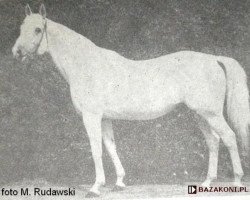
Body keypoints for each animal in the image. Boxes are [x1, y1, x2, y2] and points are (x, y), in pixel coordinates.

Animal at [12, 3, 249, 198]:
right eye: (22, 26)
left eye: (37, 29)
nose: (17, 52)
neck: (87, 65)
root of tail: (214, 59)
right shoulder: (105, 118)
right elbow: (110, 146)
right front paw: (119, 183)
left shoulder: (91, 116)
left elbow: (96, 150)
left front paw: (95, 188)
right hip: (201, 115)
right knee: (213, 142)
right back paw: (207, 183)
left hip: (211, 114)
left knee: (229, 137)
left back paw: (237, 182)